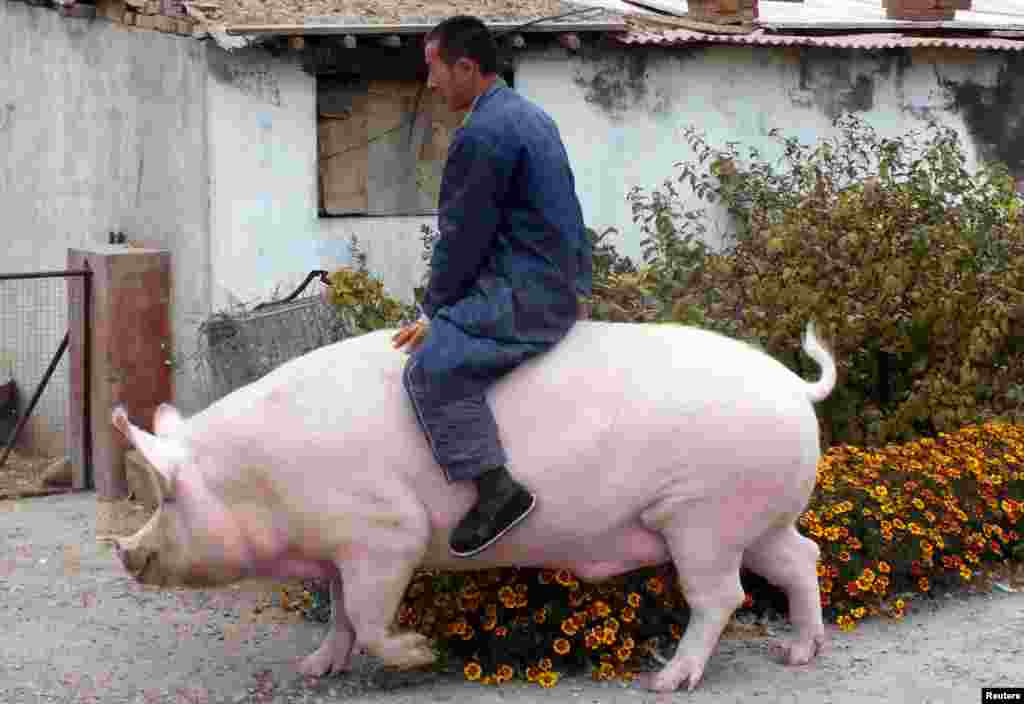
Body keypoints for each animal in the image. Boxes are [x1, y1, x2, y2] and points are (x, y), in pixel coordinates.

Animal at [106, 319, 836, 692]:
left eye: (167, 497)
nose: (124, 552)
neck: (263, 480)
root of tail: (793, 387)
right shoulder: (340, 548)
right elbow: (339, 613)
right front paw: (313, 669)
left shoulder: (386, 533)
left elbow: (368, 615)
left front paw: (421, 653)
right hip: (758, 518)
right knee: (803, 558)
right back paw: (797, 655)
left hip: (702, 517)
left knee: (722, 597)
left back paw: (668, 682)